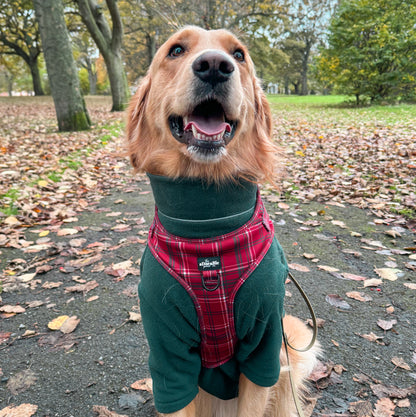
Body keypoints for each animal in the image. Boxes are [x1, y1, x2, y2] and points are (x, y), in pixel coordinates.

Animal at [125, 26, 320, 416]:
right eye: (176, 50)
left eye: (239, 55)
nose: (215, 65)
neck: (207, 228)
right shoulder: (168, 355)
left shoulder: (264, 344)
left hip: (293, 336)